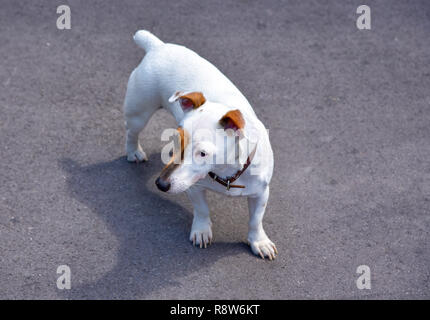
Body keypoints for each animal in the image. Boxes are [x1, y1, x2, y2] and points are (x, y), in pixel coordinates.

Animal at [122, 30, 276, 260]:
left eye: (202, 153)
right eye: (176, 141)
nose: (161, 184)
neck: (226, 173)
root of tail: (157, 46)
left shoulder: (261, 193)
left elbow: (255, 220)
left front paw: (259, 241)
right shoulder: (193, 187)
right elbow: (202, 210)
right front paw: (202, 231)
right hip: (138, 112)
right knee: (132, 132)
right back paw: (134, 151)